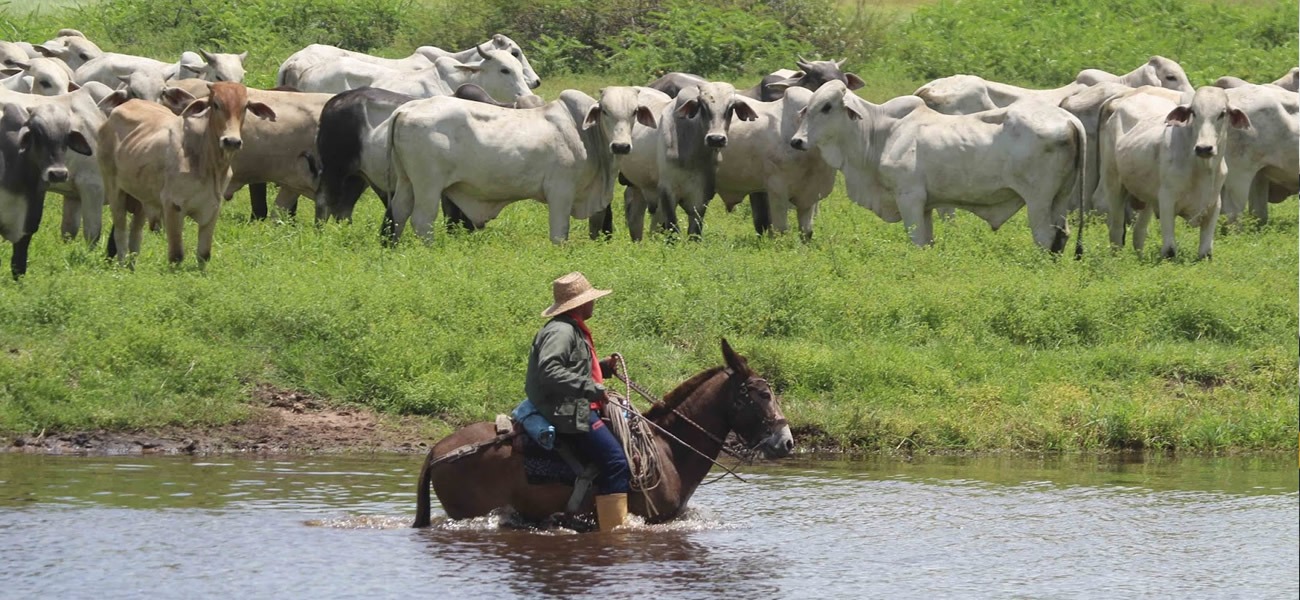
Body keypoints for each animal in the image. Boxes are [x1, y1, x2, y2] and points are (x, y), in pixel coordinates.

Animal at [99, 82, 276, 264]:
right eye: (216, 104)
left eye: (245, 107)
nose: (231, 141)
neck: (208, 164)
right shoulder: (173, 206)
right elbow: (176, 255)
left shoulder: (213, 207)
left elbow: (204, 254)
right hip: (114, 190)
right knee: (120, 232)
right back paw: (121, 263)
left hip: (142, 197)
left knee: (135, 234)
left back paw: (131, 266)